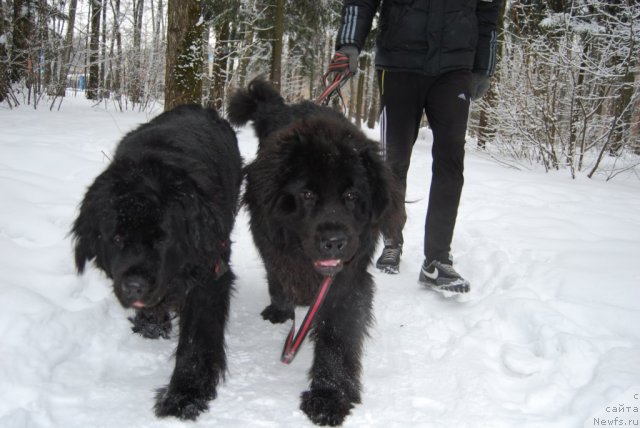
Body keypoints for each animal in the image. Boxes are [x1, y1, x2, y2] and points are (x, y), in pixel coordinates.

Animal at [71, 104, 244, 422]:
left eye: (163, 238)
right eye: (117, 238)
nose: (134, 286)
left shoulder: (210, 274)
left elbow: (195, 340)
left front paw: (184, 396)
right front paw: (150, 324)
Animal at [229, 78, 400, 426]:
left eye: (351, 195)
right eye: (307, 194)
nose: (334, 241)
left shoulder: (349, 279)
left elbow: (337, 338)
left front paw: (329, 395)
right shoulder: (274, 245)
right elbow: (278, 277)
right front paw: (284, 310)